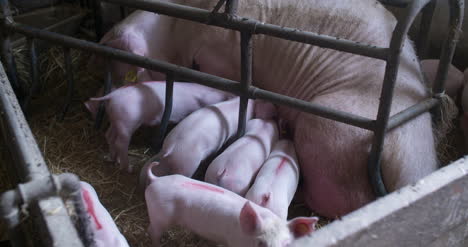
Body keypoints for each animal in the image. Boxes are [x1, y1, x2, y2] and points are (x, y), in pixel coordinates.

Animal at [101, 0, 438, 217]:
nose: (100, 109)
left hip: (331, 133)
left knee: (339, 200)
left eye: (122, 70)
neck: (178, 27)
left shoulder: (222, 59)